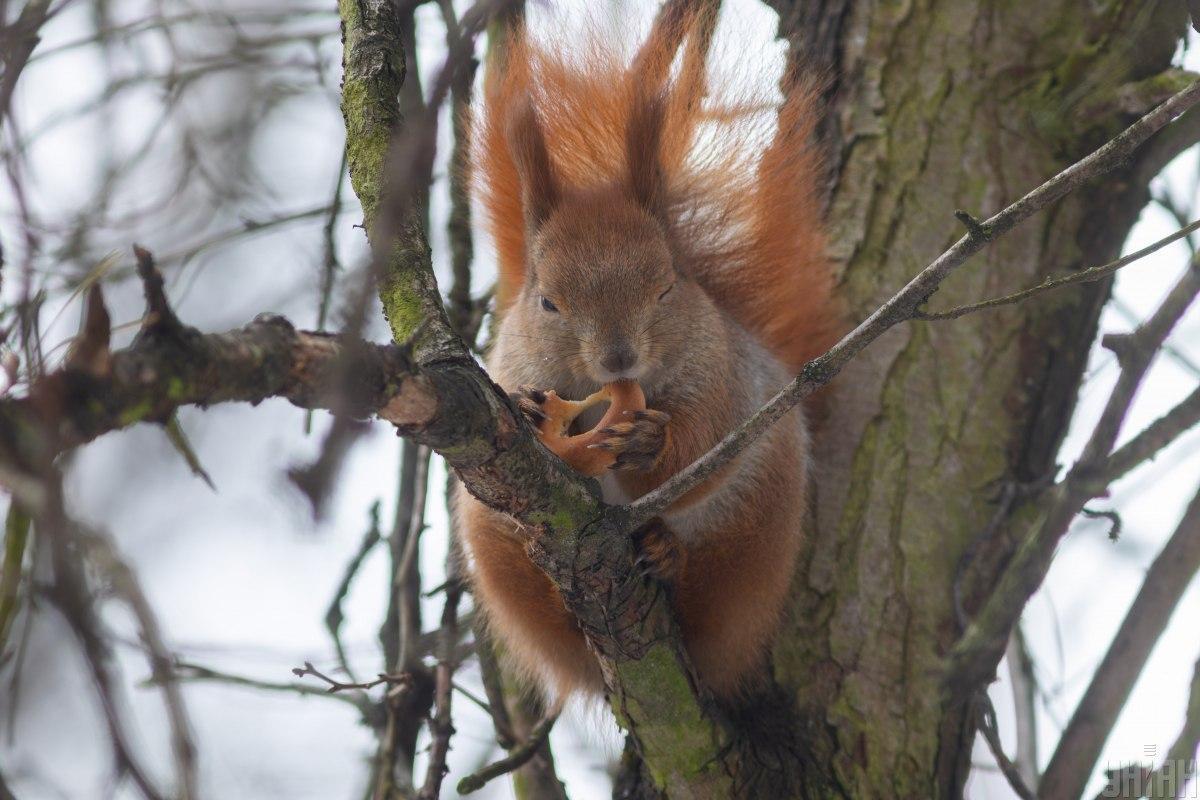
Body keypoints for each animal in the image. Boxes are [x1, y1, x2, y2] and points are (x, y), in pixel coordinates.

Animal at [453, 7, 840, 705]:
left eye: (665, 287)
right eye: (547, 302)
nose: (617, 360)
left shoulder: (722, 377)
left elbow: (702, 446)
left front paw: (648, 443)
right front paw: (531, 410)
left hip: (752, 527)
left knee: (710, 599)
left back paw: (667, 556)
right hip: (494, 547)